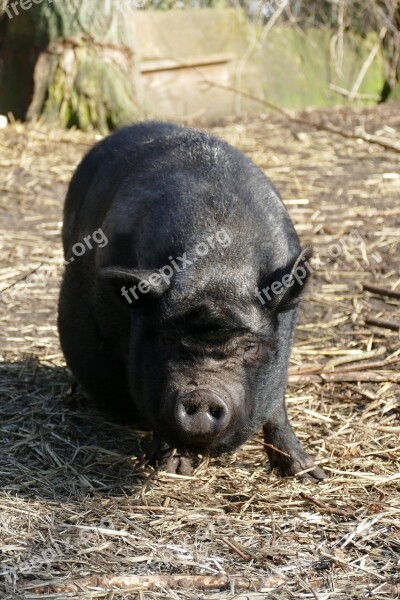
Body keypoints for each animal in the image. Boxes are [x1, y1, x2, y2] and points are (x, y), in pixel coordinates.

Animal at [58, 123, 324, 482]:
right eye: (167, 340)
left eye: (249, 347)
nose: (201, 395)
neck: (217, 267)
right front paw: (174, 468)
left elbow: (276, 407)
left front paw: (308, 474)